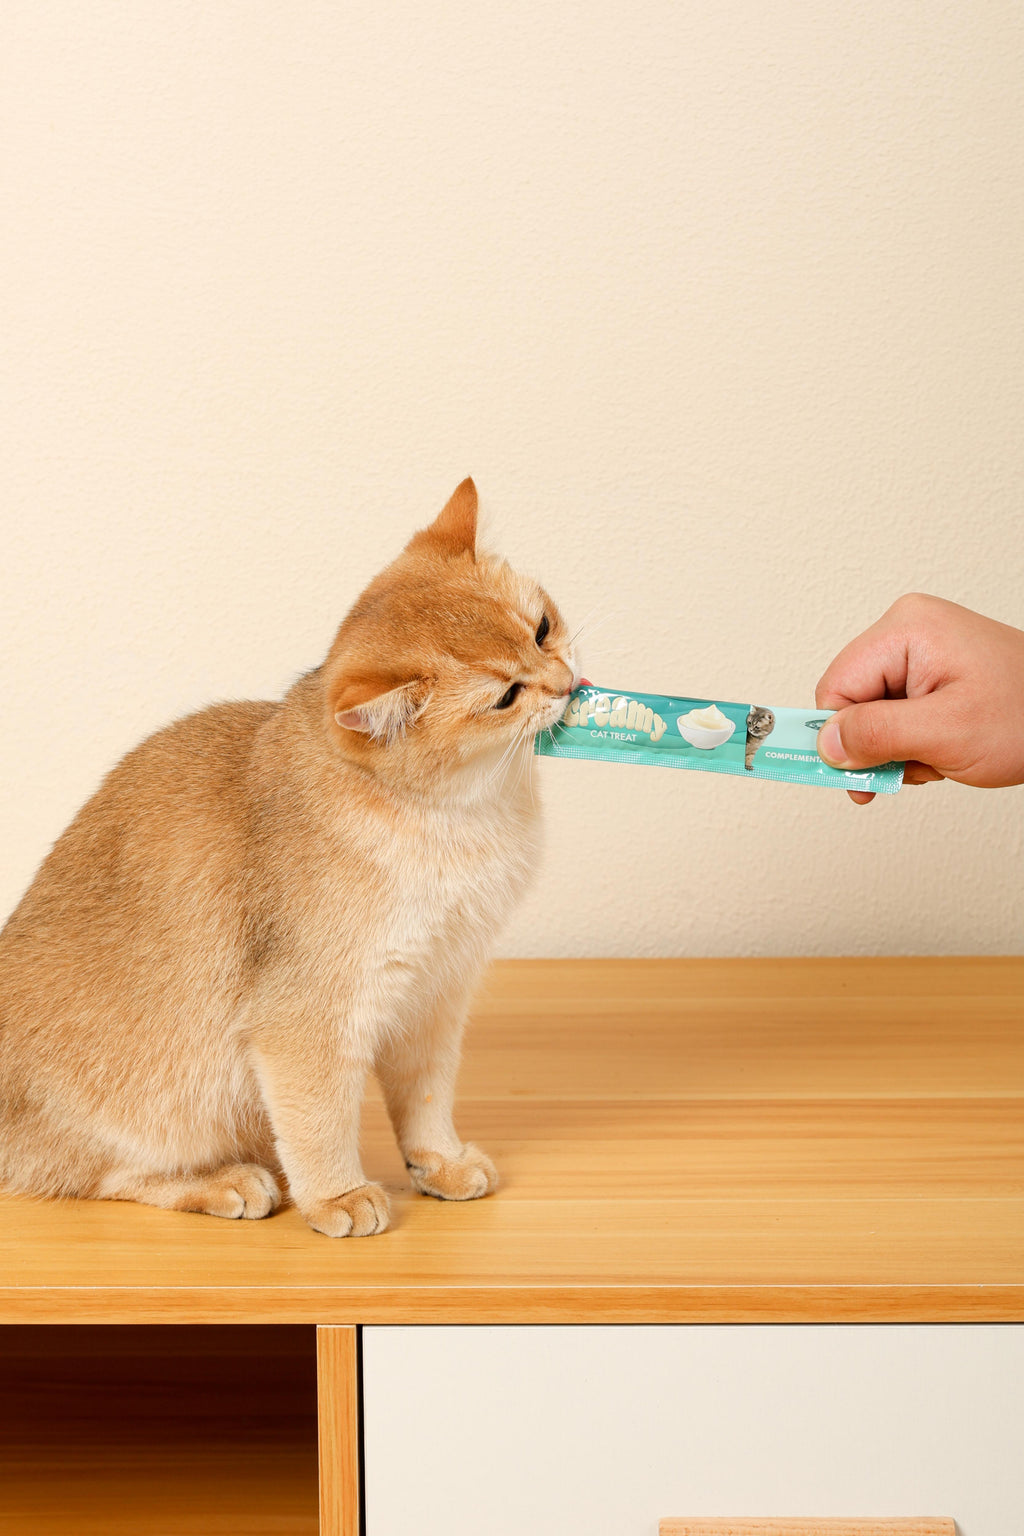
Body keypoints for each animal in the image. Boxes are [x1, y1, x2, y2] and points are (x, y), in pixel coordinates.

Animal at [0, 479, 577, 1234]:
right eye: (505, 695)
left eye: (541, 628)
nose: (568, 683)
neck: (464, 815)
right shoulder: (309, 1016)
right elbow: (317, 1117)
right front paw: (337, 1195)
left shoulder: (435, 995)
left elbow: (425, 1098)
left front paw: (439, 1163)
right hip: (151, 1104)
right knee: (97, 1174)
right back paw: (225, 1182)